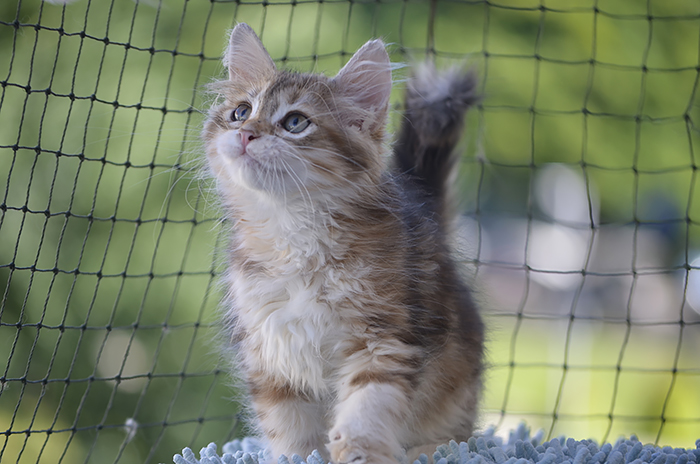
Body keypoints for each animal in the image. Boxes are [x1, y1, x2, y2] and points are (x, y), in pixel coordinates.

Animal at [202, 22, 484, 464]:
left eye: (295, 122)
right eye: (241, 112)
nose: (245, 134)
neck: (294, 231)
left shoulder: (383, 337)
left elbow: (366, 410)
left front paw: (358, 453)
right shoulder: (271, 354)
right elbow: (290, 431)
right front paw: (299, 457)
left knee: (456, 434)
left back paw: (430, 449)